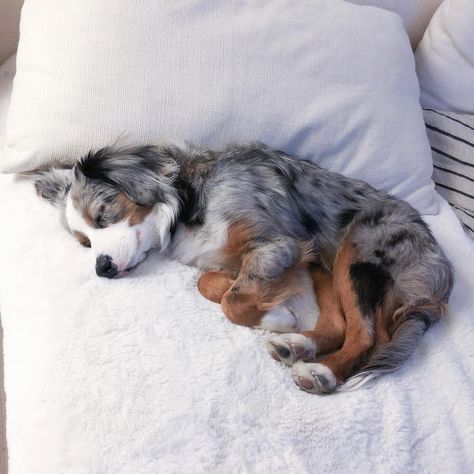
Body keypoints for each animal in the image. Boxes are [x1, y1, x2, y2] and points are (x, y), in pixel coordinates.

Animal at [35, 143, 454, 394]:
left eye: (103, 215)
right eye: (84, 242)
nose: (102, 268)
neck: (188, 199)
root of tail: (442, 268)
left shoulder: (278, 244)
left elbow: (232, 302)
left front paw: (278, 316)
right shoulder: (276, 257)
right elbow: (208, 283)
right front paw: (274, 310)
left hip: (358, 252)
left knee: (364, 334)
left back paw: (320, 372)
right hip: (327, 269)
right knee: (339, 325)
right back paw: (295, 346)